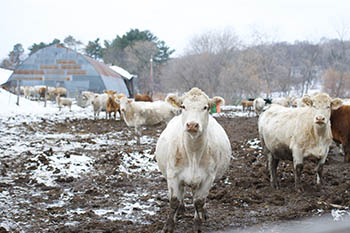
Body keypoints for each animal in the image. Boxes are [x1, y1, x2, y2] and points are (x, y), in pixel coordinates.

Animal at [154, 88, 231, 233]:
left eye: (206, 107)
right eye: (183, 106)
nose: (192, 125)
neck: (193, 153)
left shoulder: (208, 178)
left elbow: (199, 202)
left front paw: (197, 225)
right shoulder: (173, 175)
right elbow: (174, 200)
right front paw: (168, 227)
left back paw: (203, 214)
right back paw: (181, 210)